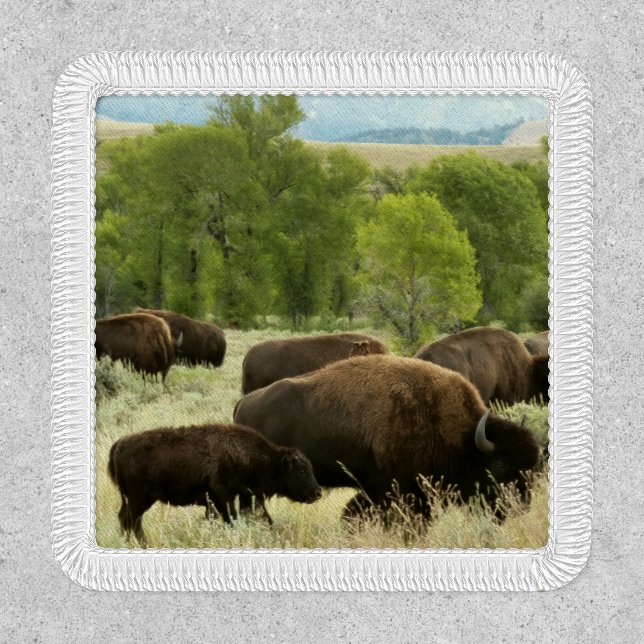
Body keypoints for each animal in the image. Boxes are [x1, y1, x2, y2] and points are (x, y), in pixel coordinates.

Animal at [108, 423, 322, 544]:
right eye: (302, 470)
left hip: (137, 500)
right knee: (130, 520)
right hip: (139, 499)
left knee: (129, 520)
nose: (317, 492)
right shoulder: (223, 499)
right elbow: (231, 520)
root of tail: (119, 444)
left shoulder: (239, 498)